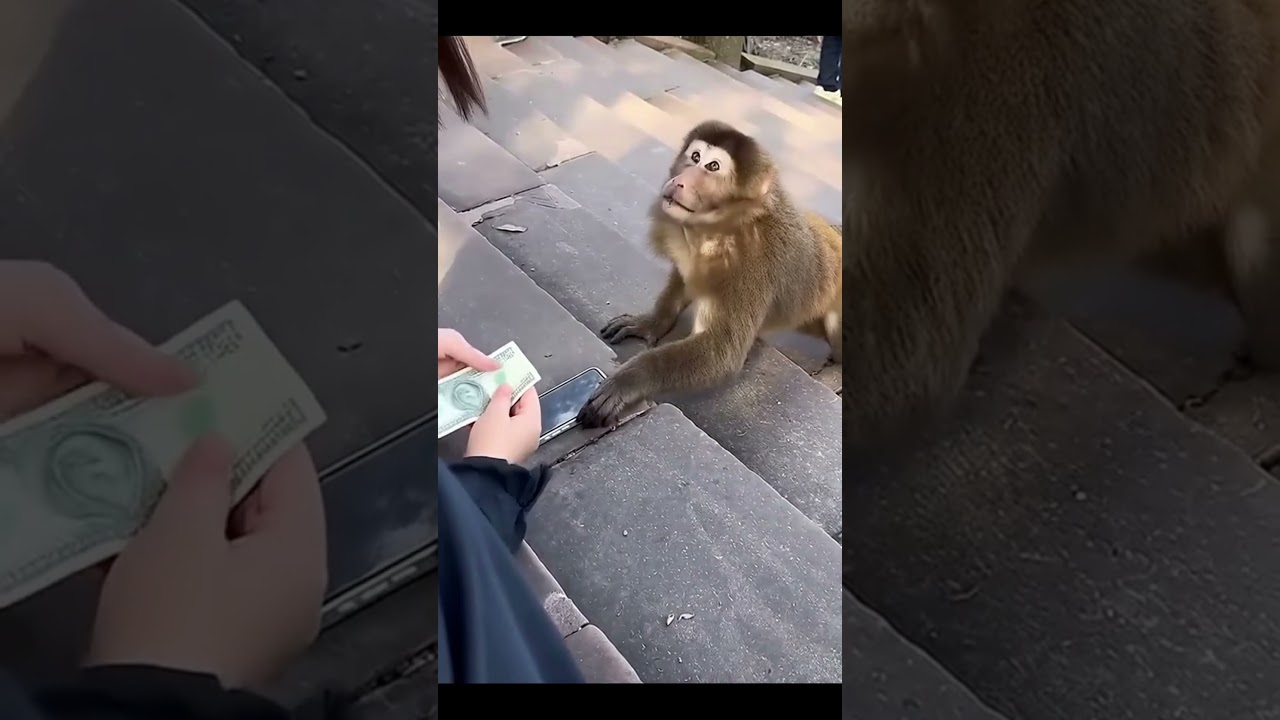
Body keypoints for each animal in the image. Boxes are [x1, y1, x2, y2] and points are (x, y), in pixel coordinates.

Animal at [578, 120, 843, 428]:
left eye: (713, 166)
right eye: (695, 157)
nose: (678, 181)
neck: (720, 228)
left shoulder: (751, 268)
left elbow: (721, 355)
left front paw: (630, 380)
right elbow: (685, 280)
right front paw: (654, 322)